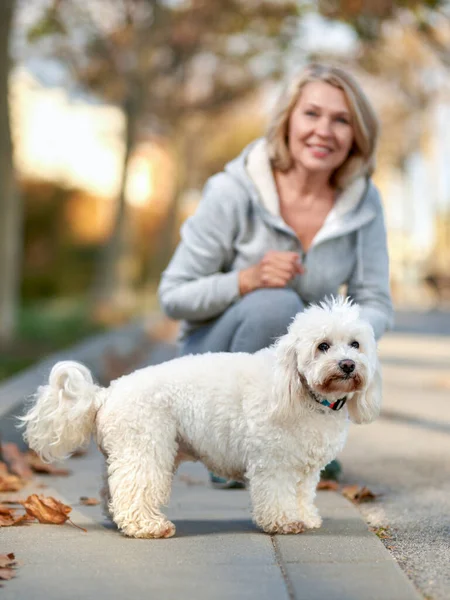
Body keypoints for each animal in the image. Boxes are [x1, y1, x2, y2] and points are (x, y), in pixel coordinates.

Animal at [21, 298, 380, 540]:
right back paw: (147, 526)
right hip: (146, 447)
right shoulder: (273, 462)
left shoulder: (304, 468)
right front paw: (284, 522)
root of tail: (107, 393)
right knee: (135, 488)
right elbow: (277, 495)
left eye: (355, 344)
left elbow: (302, 494)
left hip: (128, 451)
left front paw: (305, 517)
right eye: (323, 346)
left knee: (114, 488)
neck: (302, 391)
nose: (348, 364)